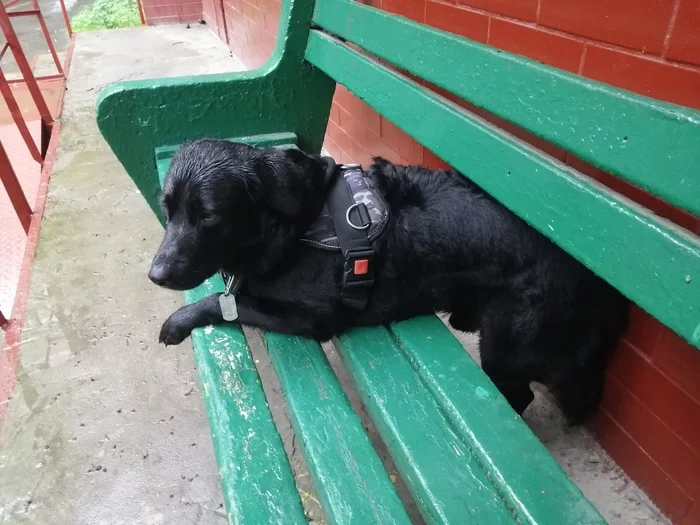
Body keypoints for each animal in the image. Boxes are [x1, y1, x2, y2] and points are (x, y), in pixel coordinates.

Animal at [149, 138, 628, 422]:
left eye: (208, 216)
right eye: (168, 208)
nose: (155, 275)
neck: (300, 222)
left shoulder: (313, 318)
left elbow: (225, 302)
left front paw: (177, 322)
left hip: (507, 344)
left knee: (525, 392)